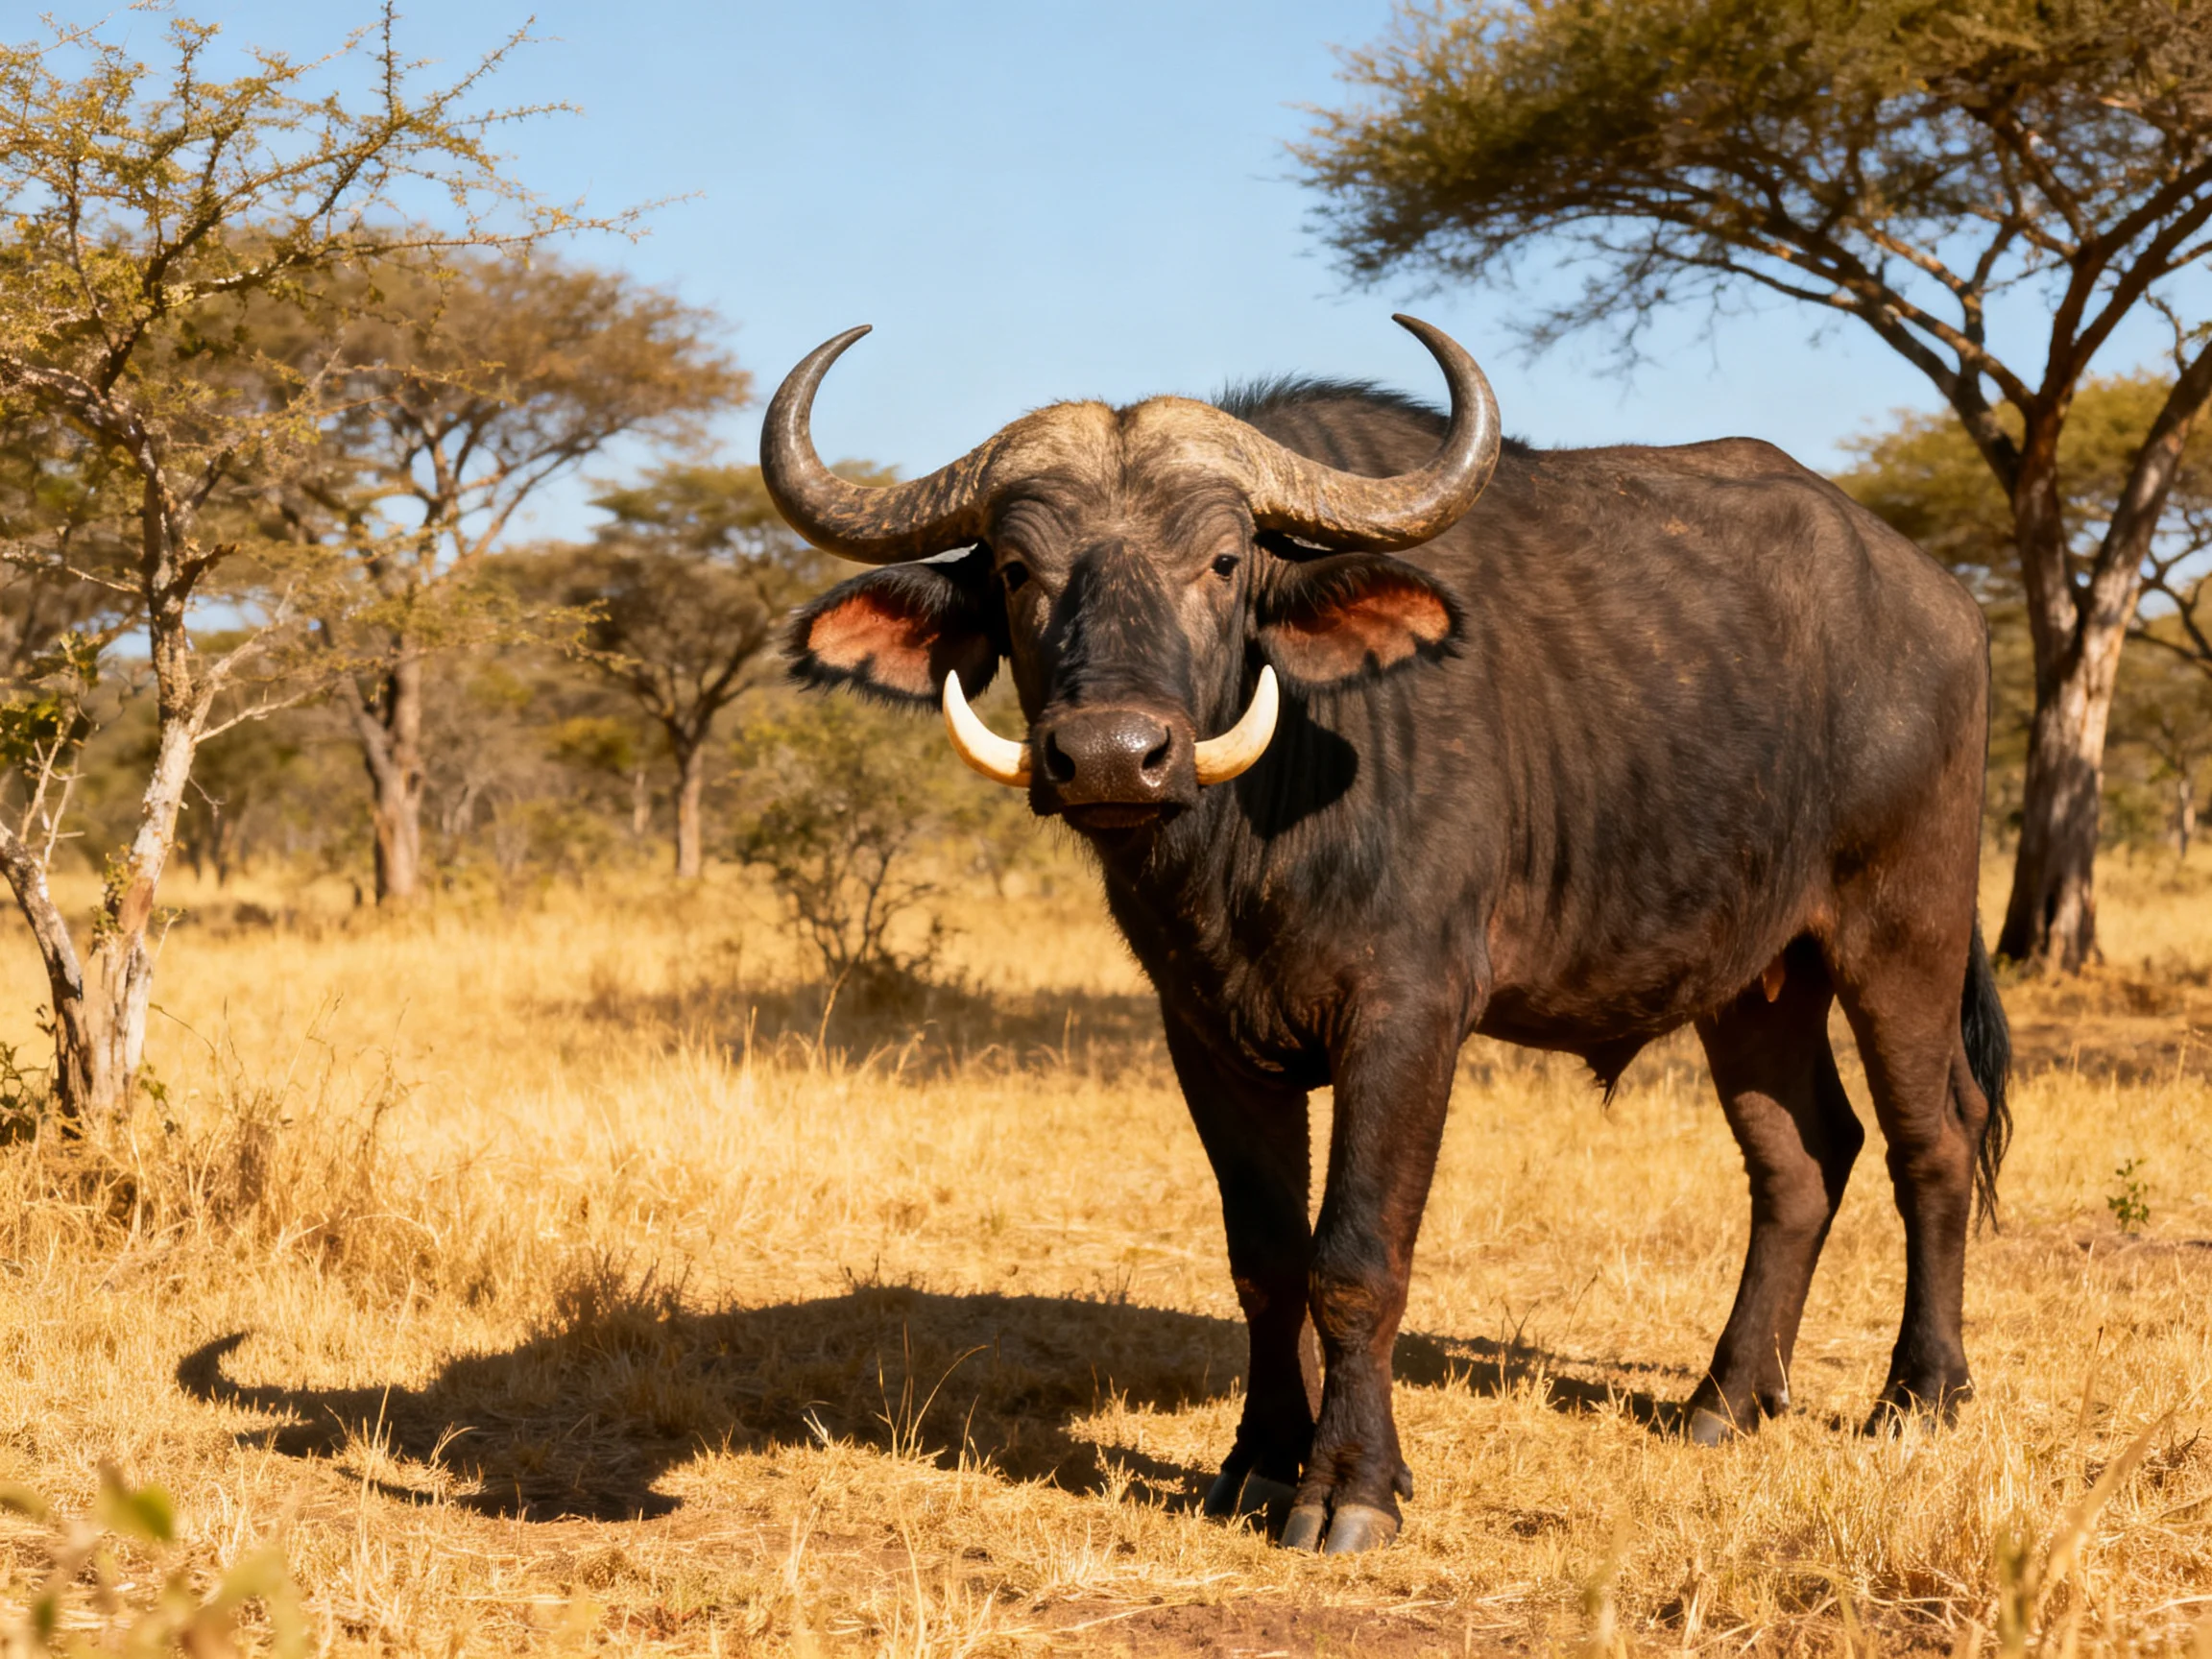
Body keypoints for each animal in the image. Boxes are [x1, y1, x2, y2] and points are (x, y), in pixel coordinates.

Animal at [761, 318, 2011, 1554]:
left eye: (1223, 562)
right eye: (1020, 570)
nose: (1113, 755)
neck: (1256, 837)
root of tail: (1944, 599)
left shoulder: (1407, 1019)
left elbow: (1356, 1258)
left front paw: (1349, 1486)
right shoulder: (1204, 1032)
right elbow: (1265, 1258)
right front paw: (1261, 1460)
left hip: (1906, 928)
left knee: (1933, 1142)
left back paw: (1921, 1394)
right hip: (1755, 981)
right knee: (1802, 1159)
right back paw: (1729, 1399)